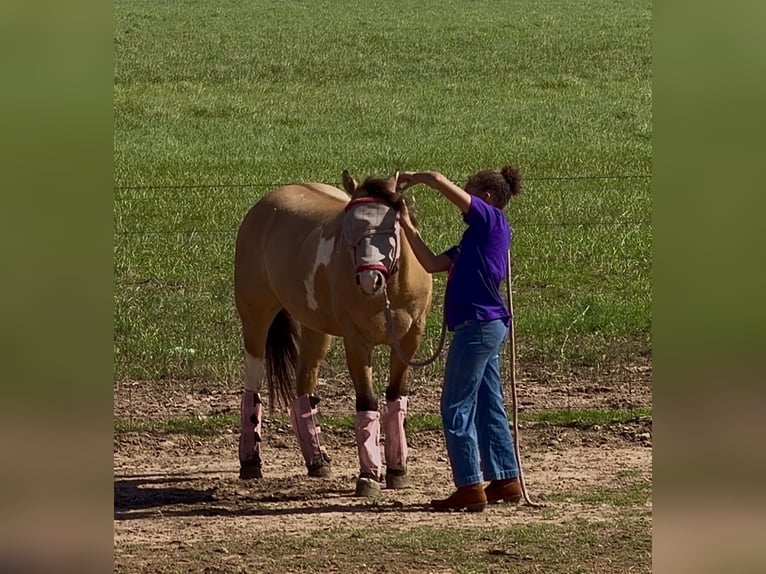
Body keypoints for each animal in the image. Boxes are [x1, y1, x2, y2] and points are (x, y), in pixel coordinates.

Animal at [233, 170, 433, 496]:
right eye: (347, 228)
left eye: (393, 225)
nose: (369, 279)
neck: (387, 292)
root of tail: (265, 205)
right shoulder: (356, 342)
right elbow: (367, 402)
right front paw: (368, 476)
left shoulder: (410, 340)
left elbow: (395, 397)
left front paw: (397, 470)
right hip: (255, 318)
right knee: (253, 386)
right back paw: (250, 461)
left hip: (316, 329)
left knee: (303, 389)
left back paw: (317, 461)